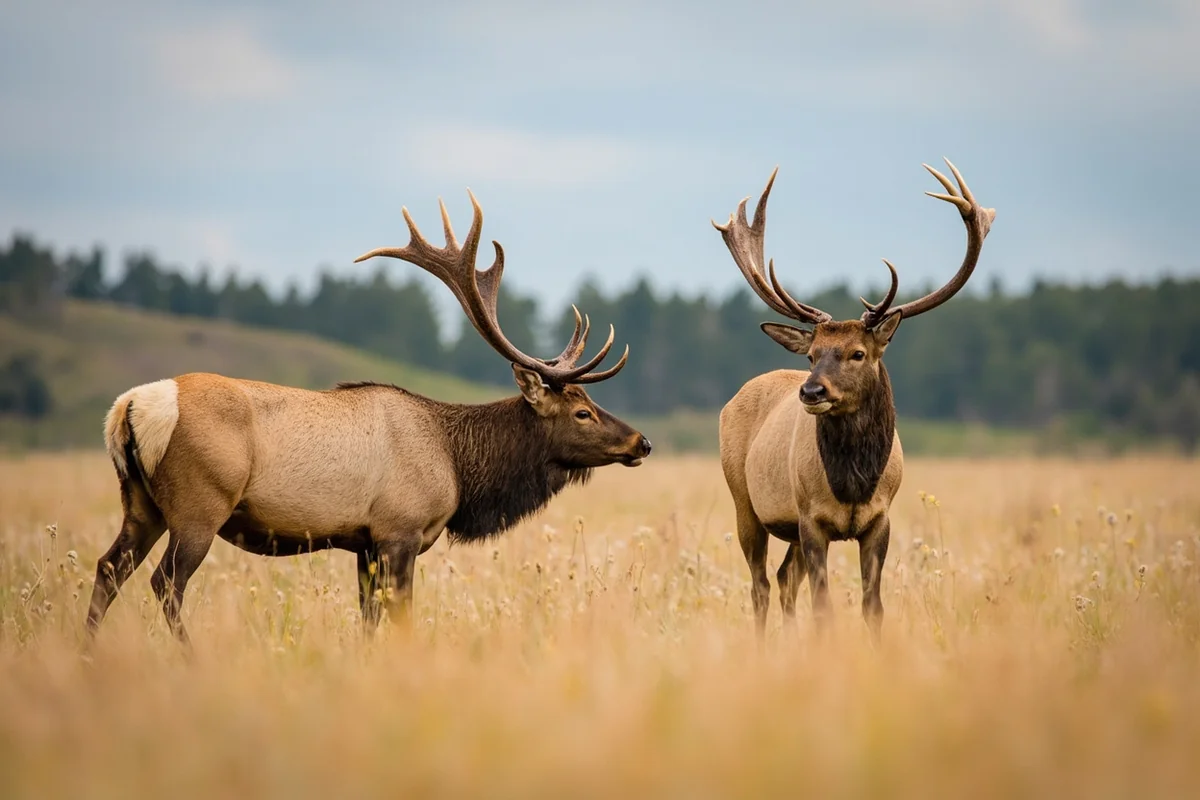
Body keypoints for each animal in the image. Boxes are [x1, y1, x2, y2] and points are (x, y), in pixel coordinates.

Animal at [85, 190, 652, 645]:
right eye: (582, 412)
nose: (641, 442)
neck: (457, 465)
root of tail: (130, 407)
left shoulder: (364, 542)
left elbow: (368, 621)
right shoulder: (400, 530)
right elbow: (399, 617)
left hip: (141, 503)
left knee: (108, 567)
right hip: (199, 504)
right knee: (165, 583)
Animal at [713, 158, 994, 643]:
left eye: (858, 353)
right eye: (811, 355)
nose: (811, 392)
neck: (853, 482)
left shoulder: (880, 519)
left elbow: (872, 605)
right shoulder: (811, 518)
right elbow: (824, 607)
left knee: (784, 579)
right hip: (744, 500)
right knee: (761, 584)